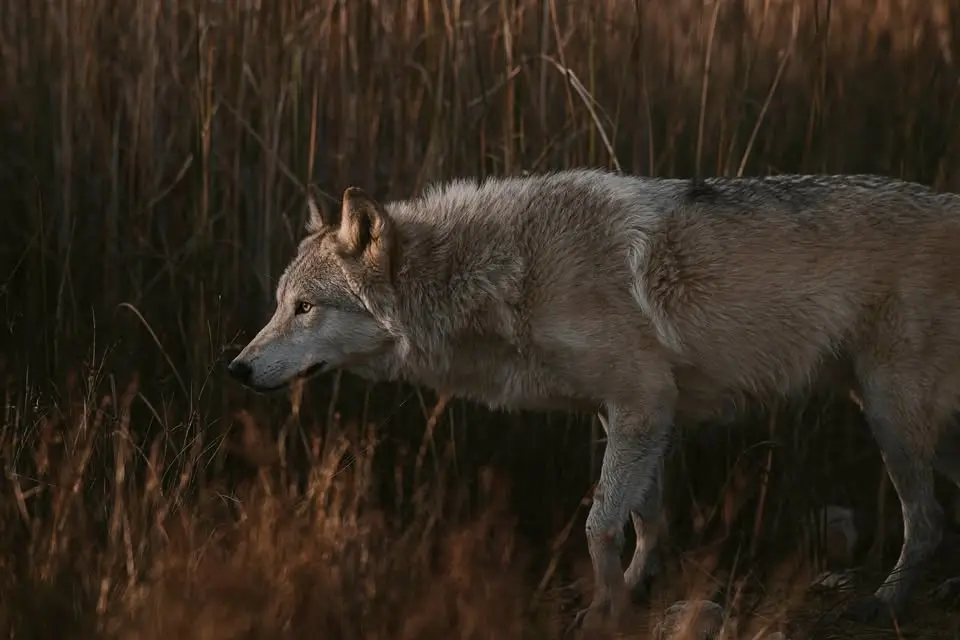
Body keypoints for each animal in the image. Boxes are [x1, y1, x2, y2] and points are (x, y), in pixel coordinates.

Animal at [228, 168, 960, 631]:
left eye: (305, 308)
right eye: (278, 305)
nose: (237, 368)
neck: (510, 272)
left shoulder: (642, 401)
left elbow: (599, 524)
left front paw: (605, 612)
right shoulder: (636, 413)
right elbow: (646, 519)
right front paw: (634, 591)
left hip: (891, 416)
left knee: (926, 521)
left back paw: (884, 603)